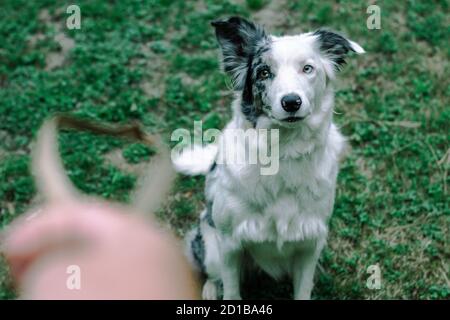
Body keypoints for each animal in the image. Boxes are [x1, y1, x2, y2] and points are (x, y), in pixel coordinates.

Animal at [173, 16, 366, 298]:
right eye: (264, 72)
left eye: (307, 68)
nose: (291, 102)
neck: (284, 149)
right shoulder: (229, 244)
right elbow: (232, 291)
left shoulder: (310, 243)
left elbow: (303, 291)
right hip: (211, 247)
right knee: (212, 274)